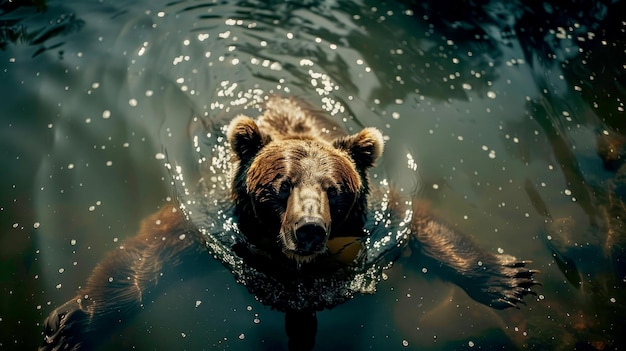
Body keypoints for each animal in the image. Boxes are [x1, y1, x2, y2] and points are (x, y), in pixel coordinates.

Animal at [40, 96, 536, 351]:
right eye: (281, 185)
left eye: (334, 189)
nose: (309, 228)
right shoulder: (209, 220)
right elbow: (146, 253)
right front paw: (73, 322)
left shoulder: (386, 220)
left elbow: (428, 228)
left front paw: (510, 278)